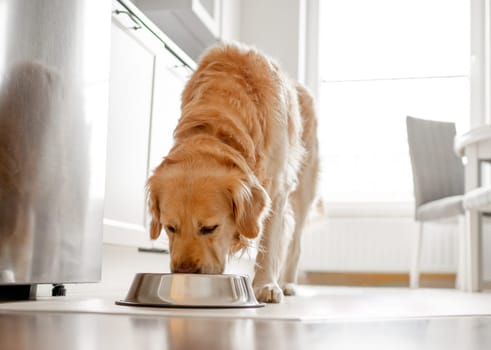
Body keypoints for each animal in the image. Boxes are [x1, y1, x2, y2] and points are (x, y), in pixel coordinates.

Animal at [148, 42, 320, 302]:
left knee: (295, 243)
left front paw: (266, 286)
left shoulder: (278, 189)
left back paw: (287, 283)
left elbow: (269, 243)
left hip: (303, 189)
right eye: (170, 228)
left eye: (210, 228)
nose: (184, 272)